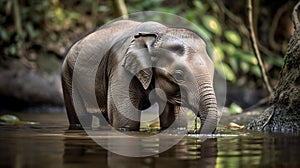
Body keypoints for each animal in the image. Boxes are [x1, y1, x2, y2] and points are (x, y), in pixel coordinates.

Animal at [62, 19, 218, 134]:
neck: (156, 36)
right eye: (179, 76)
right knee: (81, 117)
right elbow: (125, 123)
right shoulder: (120, 70)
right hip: (67, 74)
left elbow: (176, 121)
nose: (197, 132)